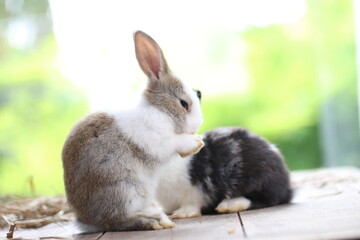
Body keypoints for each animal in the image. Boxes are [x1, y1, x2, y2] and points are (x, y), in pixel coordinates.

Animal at [60, 31, 204, 232]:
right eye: (184, 103)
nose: (196, 126)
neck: (160, 110)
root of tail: (86, 220)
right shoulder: (157, 140)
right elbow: (174, 142)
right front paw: (195, 143)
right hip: (123, 190)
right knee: (115, 221)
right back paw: (152, 221)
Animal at [158, 126, 292, 218]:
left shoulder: (195, 191)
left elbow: (192, 204)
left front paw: (181, 214)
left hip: (259, 181)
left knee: (265, 200)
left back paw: (228, 205)